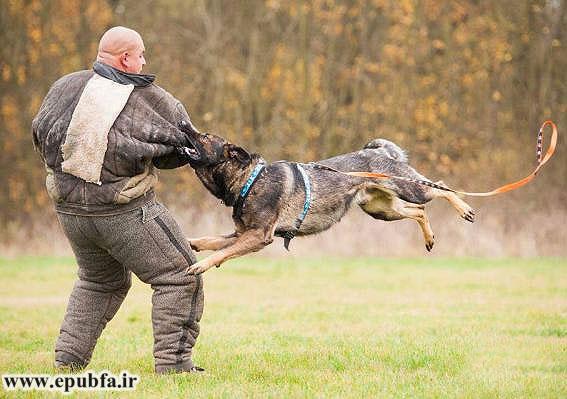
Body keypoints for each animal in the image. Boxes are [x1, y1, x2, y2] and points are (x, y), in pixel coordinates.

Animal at [178, 121, 474, 276]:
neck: (249, 181)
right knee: (419, 210)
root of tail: (379, 152)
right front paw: (192, 243)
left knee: (441, 188)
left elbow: (222, 252)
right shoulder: (242, 234)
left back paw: (464, 209)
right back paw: (429, 238)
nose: (182, 123)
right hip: (381, 210)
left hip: (407, 188)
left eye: (205, 136)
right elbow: (211, 241)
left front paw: (201, 265)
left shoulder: (258, 236)